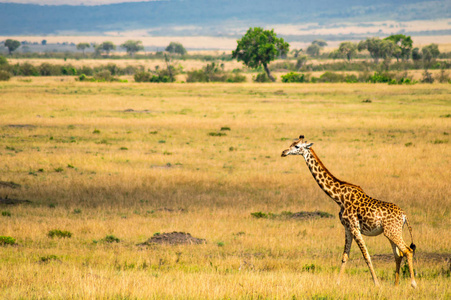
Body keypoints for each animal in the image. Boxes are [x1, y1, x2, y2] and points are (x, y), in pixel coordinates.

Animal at [280, 135, 418, 288]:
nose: (283, 152)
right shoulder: (347, 228)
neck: (339, 197)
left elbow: (366, 255)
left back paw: (413, 284)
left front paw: (376, 283)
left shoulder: (354, 227)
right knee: (398, 255)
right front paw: (337, 283)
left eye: (297, 146)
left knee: (408, 251)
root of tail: (404, 215)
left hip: (392, 232)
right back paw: (395, 284)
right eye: (292, 143)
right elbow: (345, 256)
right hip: (391, 232)